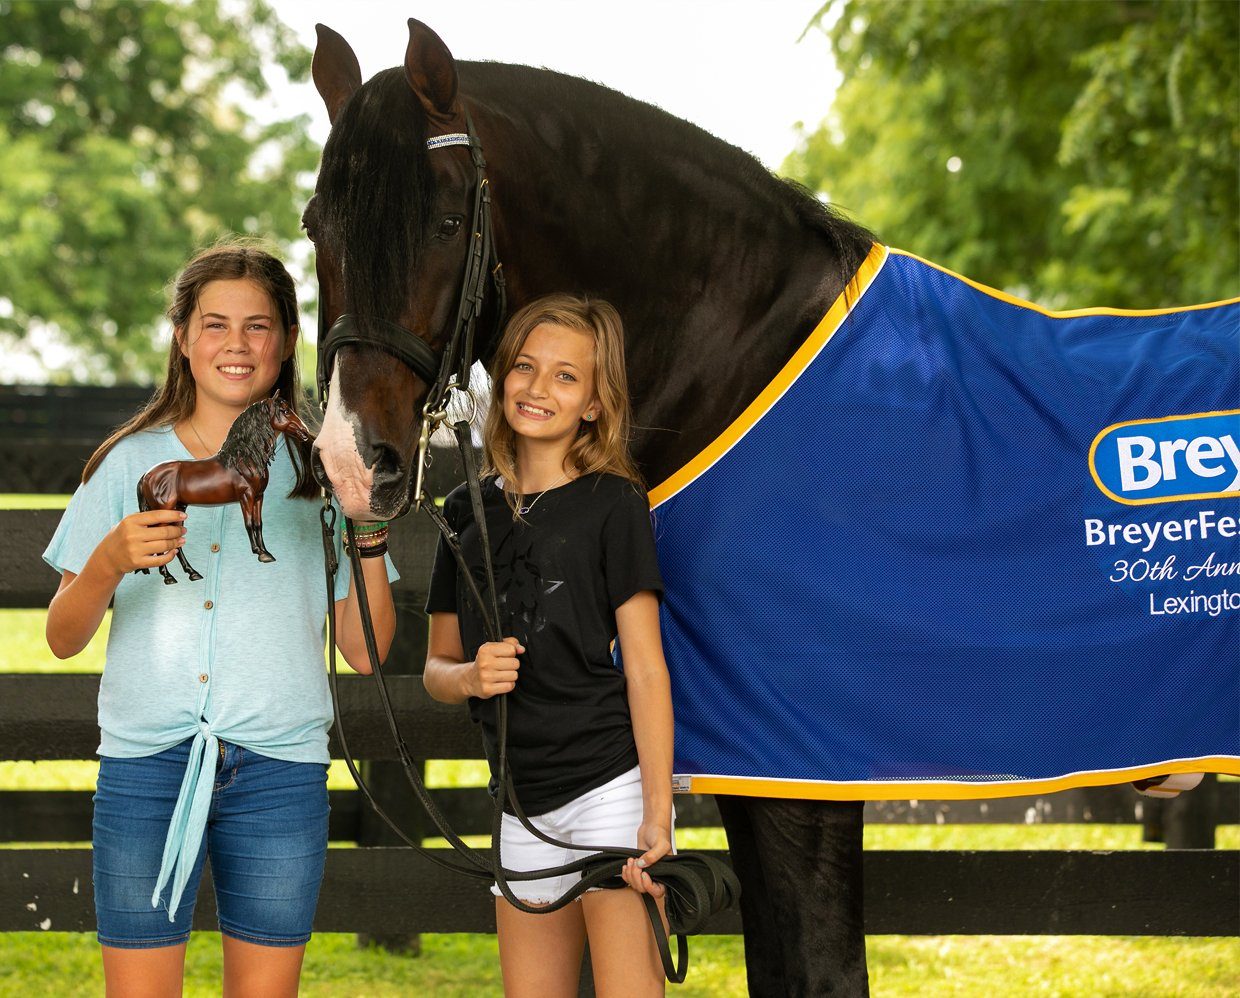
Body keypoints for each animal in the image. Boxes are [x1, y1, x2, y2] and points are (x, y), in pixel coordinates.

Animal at [137, 393, 313, 585]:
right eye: (285, 411)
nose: (305, 432)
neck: (244, 460)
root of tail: (147, 475)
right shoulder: (246, 496)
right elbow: (249, 524)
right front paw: (259, 553)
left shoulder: (259, 497)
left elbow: (259, 524)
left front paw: (266, 552)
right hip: (165, 511)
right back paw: (169, 577)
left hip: (178, 509)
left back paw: (192, 573)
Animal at [303, 19, 1237, 998]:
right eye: (315, 225)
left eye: (447, 221)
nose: (351, 460)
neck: (743, 364)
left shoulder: (801, 776)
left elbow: (817, 966)